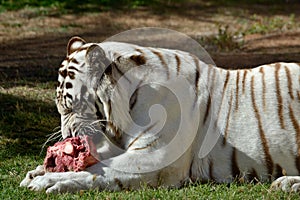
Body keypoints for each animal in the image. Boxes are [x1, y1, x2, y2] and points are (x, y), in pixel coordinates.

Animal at [20, 36, 300, 194]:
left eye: (69, 106)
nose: (67, 134)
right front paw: (39, 171)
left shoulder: (155, 156)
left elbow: (99, 171)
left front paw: (48, 181)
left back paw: (287, 184)